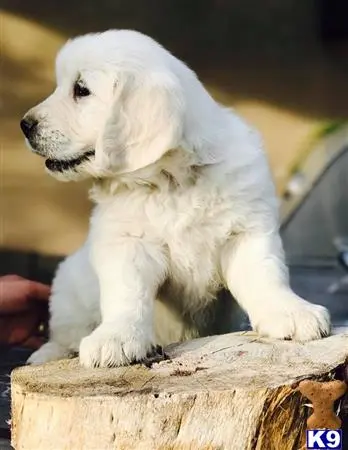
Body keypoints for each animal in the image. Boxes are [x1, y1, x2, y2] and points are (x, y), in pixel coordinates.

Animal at [20, 29, 330, 366]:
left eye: (81, 90)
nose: (25, 124)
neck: (171, 182)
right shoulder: (127, 243)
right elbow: (126, 293)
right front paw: (115, 337)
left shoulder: (245, 231)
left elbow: (265, 273)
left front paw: (292, 311)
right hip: (68, 287)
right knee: (63, 332)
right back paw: (48, 354)